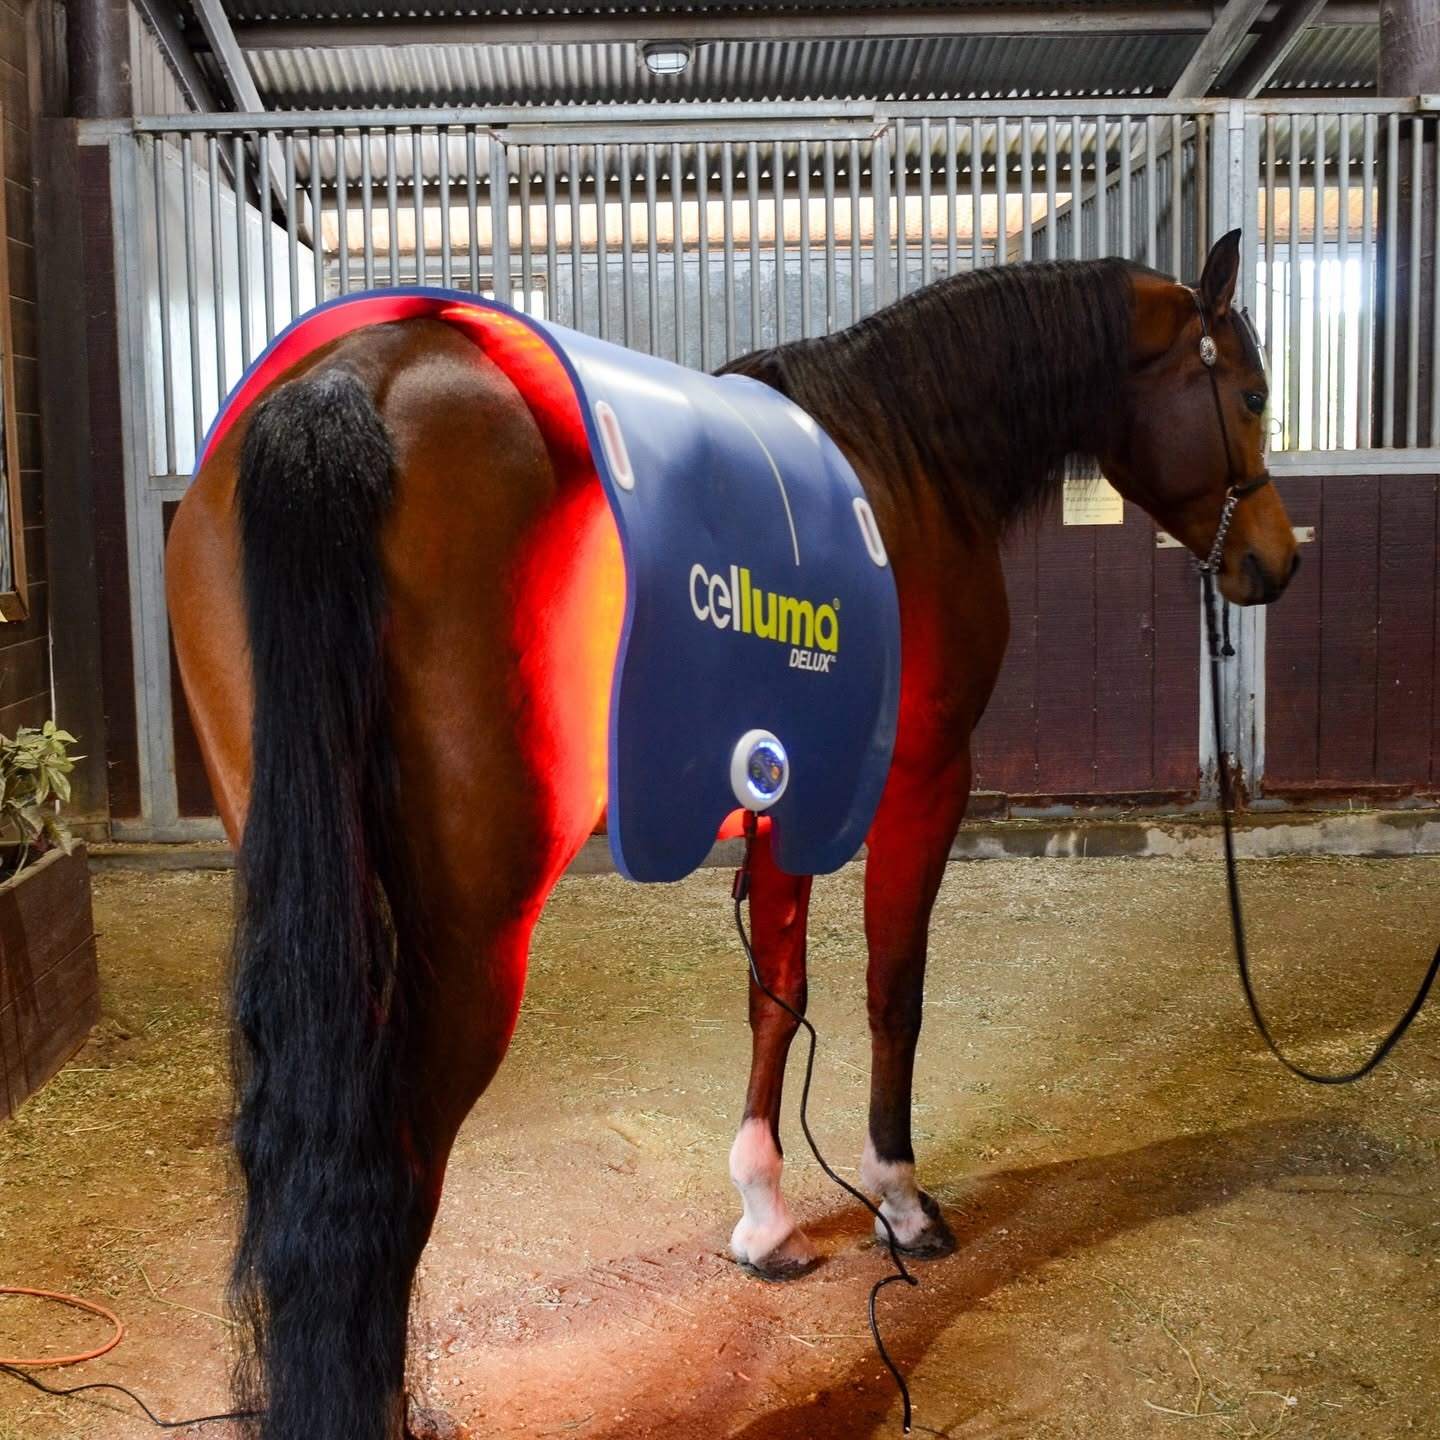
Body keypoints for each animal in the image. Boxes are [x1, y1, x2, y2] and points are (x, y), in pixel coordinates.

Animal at [165, 227, 1299, 1440]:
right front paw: (899, 1201)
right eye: (1251, 392)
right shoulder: (924, 777)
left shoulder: (781, 793)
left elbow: (776, 991)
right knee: (388, 1165)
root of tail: (349, 390)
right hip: (471, 940)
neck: (907, 452)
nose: (1277, 561)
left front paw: (766, 1217)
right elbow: (892, 988)